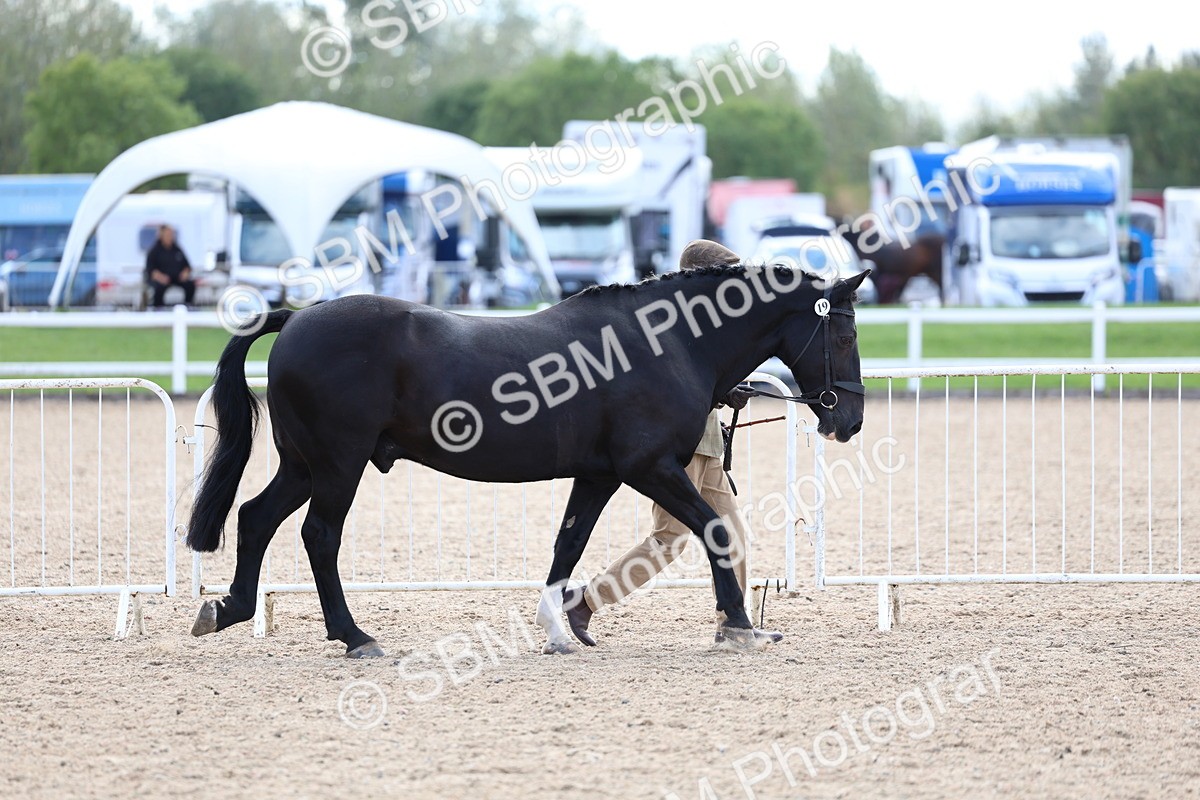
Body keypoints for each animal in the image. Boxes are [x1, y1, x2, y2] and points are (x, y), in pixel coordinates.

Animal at [186, 265, 869, 657]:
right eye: (844, 335)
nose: (849, 421)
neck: (666, 342)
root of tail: (296, 317)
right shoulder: (649, 468)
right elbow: (714, 528)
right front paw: (738, 624)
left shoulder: (599, 474)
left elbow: (568, 544)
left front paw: (561, 631)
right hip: (336, 466)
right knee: (318, 535)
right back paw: (354, 637)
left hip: (305, 466)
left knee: (256, 518)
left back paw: (229, 609)